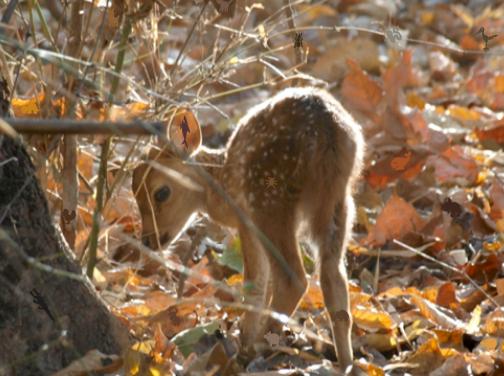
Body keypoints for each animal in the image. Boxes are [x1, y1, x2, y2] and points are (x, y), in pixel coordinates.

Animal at [133, 88, 362, 374]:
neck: (220, 184)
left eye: (161, 192)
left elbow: (255, 284)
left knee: (294, 278)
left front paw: (245, 336)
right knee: (333, 278)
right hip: (338, 201)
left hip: (267, 196)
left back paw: (251, 351)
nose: (148, 240)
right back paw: (346, 363)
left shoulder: (245, 220)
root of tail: (328, 130)